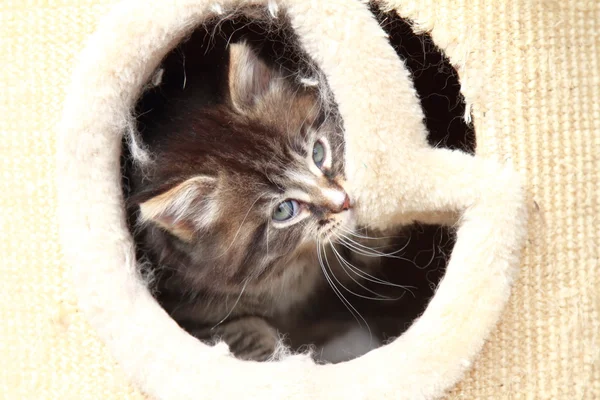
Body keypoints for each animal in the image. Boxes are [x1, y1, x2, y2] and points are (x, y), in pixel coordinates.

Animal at [129, 42, 386, 360]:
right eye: (284, 210)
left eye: (318, 153)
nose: (344, 201)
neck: (288, 267)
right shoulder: (198, 316)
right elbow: (249, 340)